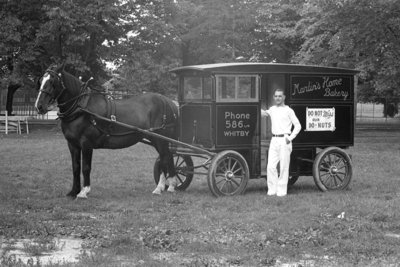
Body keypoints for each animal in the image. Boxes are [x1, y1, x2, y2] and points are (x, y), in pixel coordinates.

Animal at [34, 63, 178, 199]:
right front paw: (74, 191)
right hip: (158, 139)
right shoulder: (72, 144)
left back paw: (160, 188)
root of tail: (169, 101)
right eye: (41, 80)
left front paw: (84, 191)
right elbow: (75, 167)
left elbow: (85, 167)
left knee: (164, 158)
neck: (81, 107)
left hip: (160, 139)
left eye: (52, 81)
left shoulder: (86, 143)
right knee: (168, 157)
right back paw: (170, 186)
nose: (39, 106)